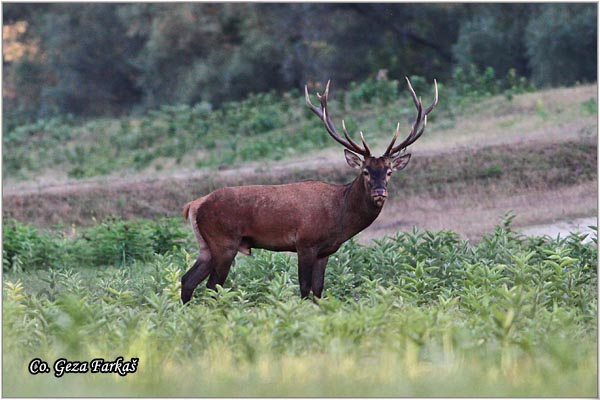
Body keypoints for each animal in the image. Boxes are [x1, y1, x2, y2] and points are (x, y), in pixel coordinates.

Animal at [180, 77, 438, 304]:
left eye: (389, 172)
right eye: (365, 171)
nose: (379, 192)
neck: (340, 215)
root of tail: (194, 204)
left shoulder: (325, 251)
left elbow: (318, 290)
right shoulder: (305, 243)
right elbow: (304, 289)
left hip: (206, 246)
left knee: (187, 280)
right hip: (224, 242)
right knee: (213, 286)